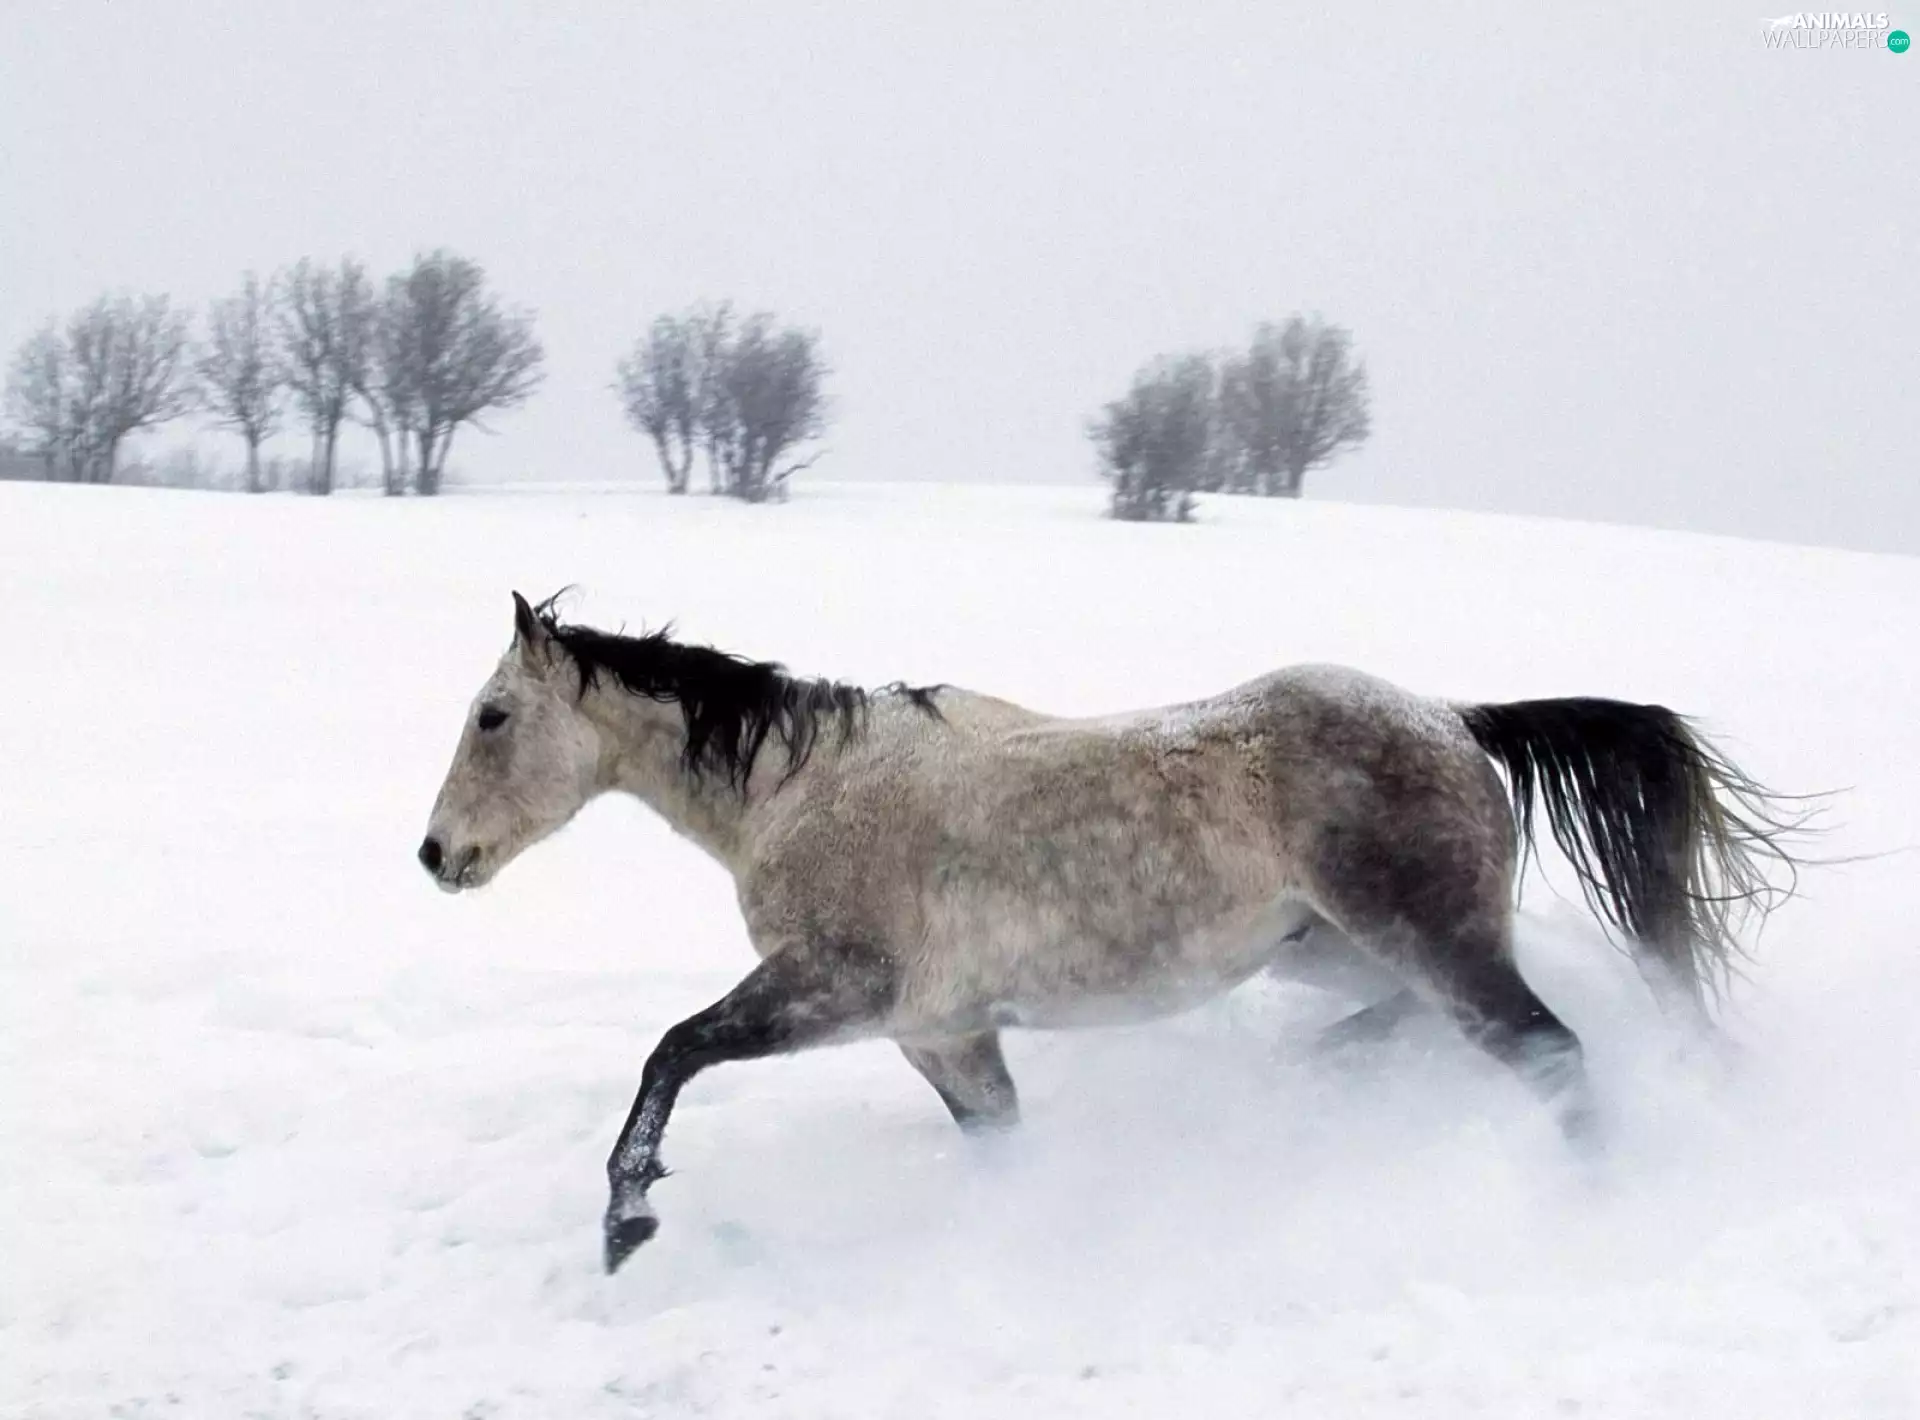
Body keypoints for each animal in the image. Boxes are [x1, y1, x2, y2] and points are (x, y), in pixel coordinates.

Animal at [418, 592, 1807, 1274]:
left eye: (493, 715)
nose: (435, 856)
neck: (804, 790)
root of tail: (1455, 720)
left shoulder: (835, 989)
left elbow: (672, 1049)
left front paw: (625, 1222)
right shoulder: (944, 1034)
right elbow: (1001, 1148)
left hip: (1432, 940)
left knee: (1554, 1056)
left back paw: (1593, 1204)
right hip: (1335, 949)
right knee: (1420, 1025)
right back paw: (1314, 1080)